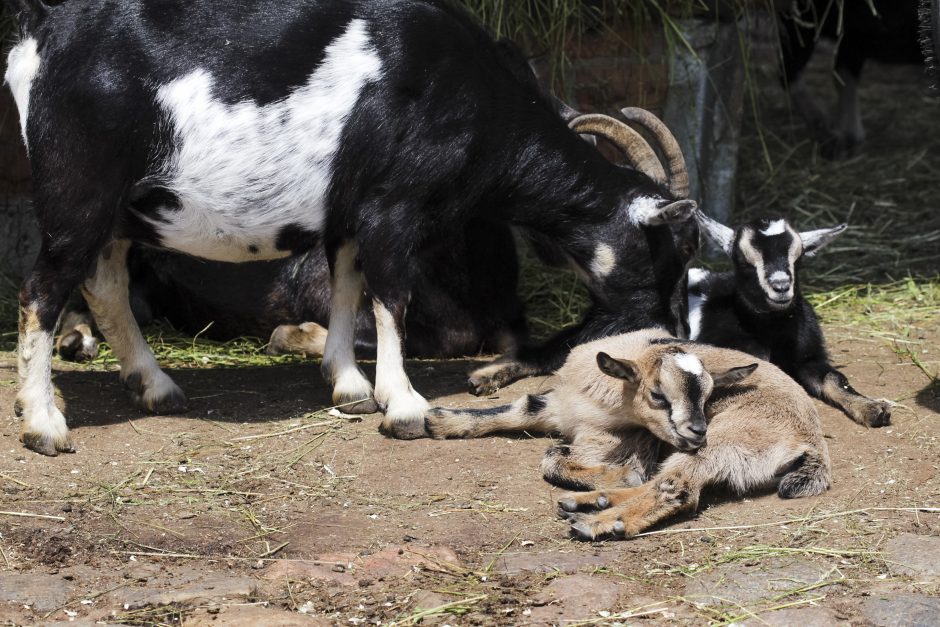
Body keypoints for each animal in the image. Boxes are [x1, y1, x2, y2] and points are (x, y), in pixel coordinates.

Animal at [3, 0, 692, 454]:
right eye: (667, 249)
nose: (668, 334)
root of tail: (41, 35)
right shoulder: (394, 205)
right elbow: (391, 298)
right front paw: (405, 404)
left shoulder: (349, 215)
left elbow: (346, 287)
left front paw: (350, 386)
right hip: (79, 194)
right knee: (42, 290)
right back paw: (44, 423)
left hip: (121, 213)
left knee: (105, 287)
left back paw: (156, 388)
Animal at [684, 213, 888, 430]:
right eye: (744, 261)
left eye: (799, 258)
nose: (781, 286)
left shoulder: (809, 359)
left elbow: (835, 378)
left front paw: (872, 408)